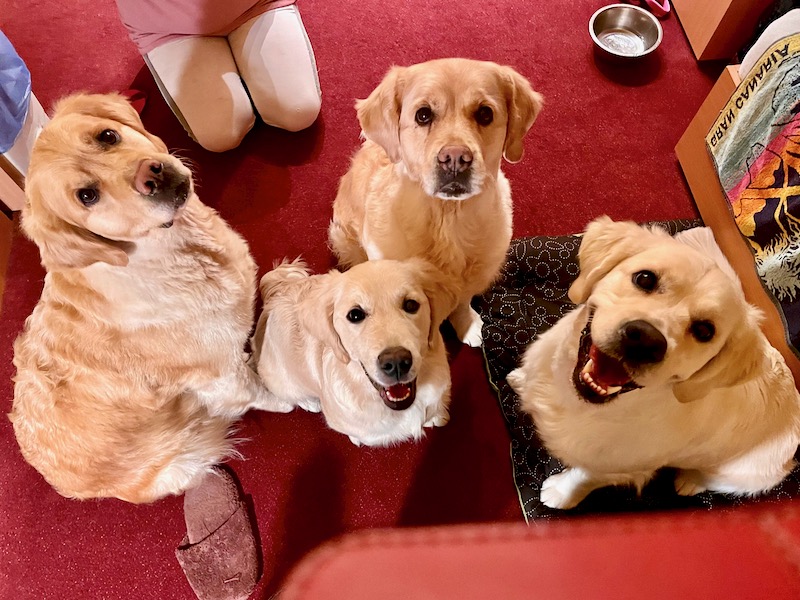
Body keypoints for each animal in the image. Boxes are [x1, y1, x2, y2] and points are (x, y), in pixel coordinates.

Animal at [329, 58, 543, 347]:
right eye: (423, 115)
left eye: (485, 114)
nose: (455, 158)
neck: (448, 220)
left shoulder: (473, 276)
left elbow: (462, 302)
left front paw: (466, 324)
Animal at [507, 217, 800, 510]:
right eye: (645, 278)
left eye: (705, 331)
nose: (645, 340)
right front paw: (519, 380)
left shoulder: (621, 466)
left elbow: (583, 475)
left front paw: (560, 493)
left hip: (744, 474)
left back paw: (689, 481)